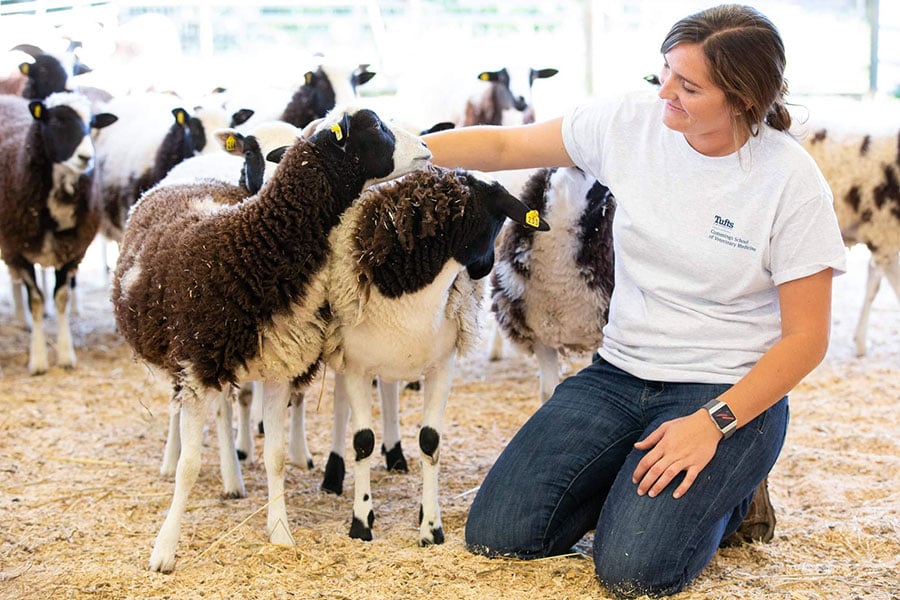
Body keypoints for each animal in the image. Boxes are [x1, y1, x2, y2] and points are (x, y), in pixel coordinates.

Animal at [0, 92, 117, 374]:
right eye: (57, 122)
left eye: (91, 124)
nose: (86, 158)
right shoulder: (20, 250)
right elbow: (36, 301)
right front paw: (39, 359)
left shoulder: (70, 251)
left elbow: (61, 297)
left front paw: (65, 355)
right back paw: (22, 319)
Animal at [110, 104, 431, 572]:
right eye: (376, 126)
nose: (426, 147)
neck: (256, 248)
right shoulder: (196, 365)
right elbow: (191, 465)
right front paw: (165, 549)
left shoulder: (279, 367)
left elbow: (276, 458)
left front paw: (280, 533)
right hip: (179, 355)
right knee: (179, 410)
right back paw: (177, 460)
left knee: (224, 410)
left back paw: (232, 475)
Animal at [322, 166, 549, 545]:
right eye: (498, 219)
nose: (483, 268)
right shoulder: (356, 366)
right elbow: (363, 442)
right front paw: (361, 522)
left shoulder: (442, 366)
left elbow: (430, 441)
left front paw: (430, 526)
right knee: (342, 406)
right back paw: (333, 475)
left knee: (389, 393)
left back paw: (396, 456)